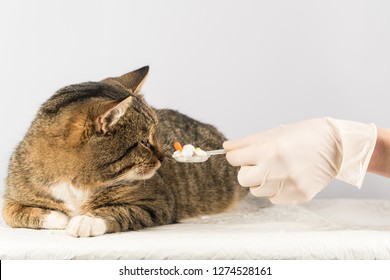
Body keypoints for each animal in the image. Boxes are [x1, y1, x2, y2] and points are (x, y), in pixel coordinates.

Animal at [2, 66, 247, 237]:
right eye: (144, 142)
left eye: (157, 133)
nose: (163, 157)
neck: (77, 184)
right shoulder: (12, 196)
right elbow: (13, 213)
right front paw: (63, 218)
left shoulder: (158, 201)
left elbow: (121, 211)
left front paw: (85, 220)